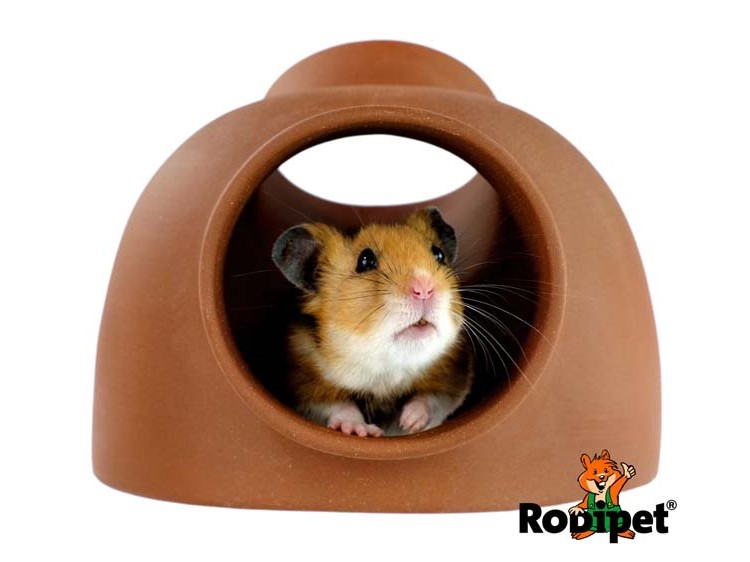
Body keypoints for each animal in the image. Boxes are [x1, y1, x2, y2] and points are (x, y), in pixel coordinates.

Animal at [271, 207, 473, 437]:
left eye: (438, 254)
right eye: (365, 260)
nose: (424, 289)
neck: (386, 370)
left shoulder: (454, 377)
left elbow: (433, 399)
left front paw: (409, 422)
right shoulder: (304, 381)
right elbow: (337, 406)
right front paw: (363, 431)